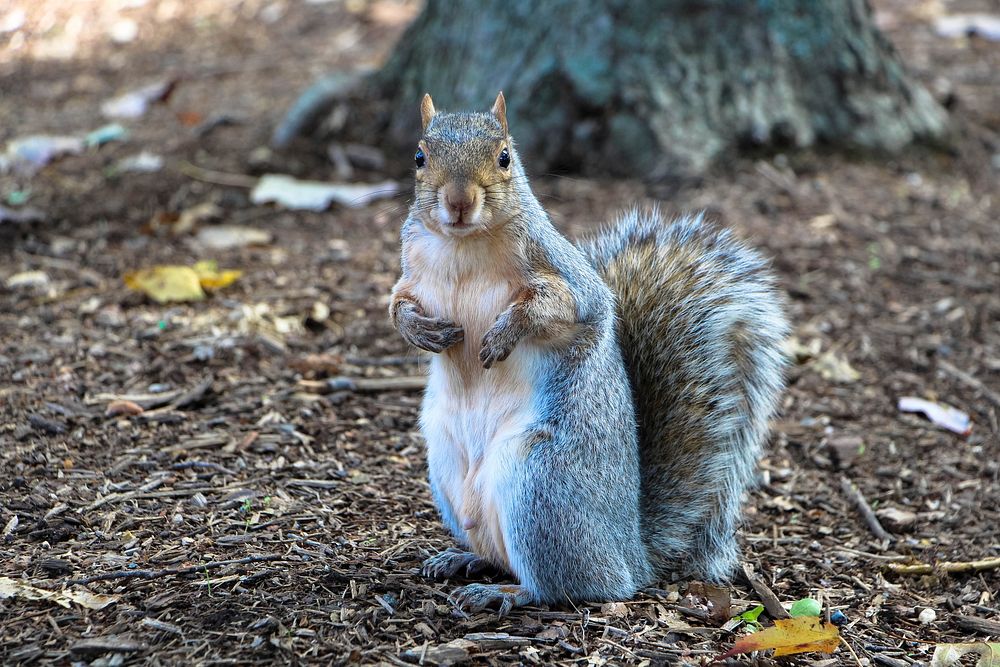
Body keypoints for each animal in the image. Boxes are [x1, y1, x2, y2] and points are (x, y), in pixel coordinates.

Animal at [390, 94, 788, 616]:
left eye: (505, 157)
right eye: (419, 157)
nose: (458, 202)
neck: (464, 246)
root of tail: (632, 554)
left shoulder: (567, 277)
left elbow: (563, 309)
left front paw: (503, 334)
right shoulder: (411, 272)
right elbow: (397, 304)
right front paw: (419, 330)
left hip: (541, 485)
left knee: (573, 585)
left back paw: (509, 592)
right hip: (445, 468)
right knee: (499, 554)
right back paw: (463, 560)